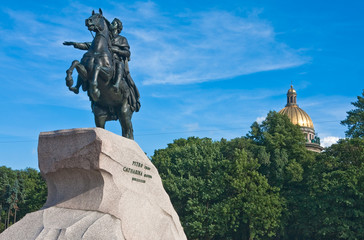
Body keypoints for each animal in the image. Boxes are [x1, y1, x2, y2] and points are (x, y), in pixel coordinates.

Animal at [65, 9, 135, 140]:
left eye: (98, 16)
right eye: (91, 15)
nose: (87, 20)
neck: (97, 50)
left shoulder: (107, 75)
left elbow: (97, 67)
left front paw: (95, 90)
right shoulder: (85, 71)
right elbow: (75, 62)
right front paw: (70, 81)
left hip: (124, 112)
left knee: (128, 131)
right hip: (100, 115)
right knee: (104, 127)